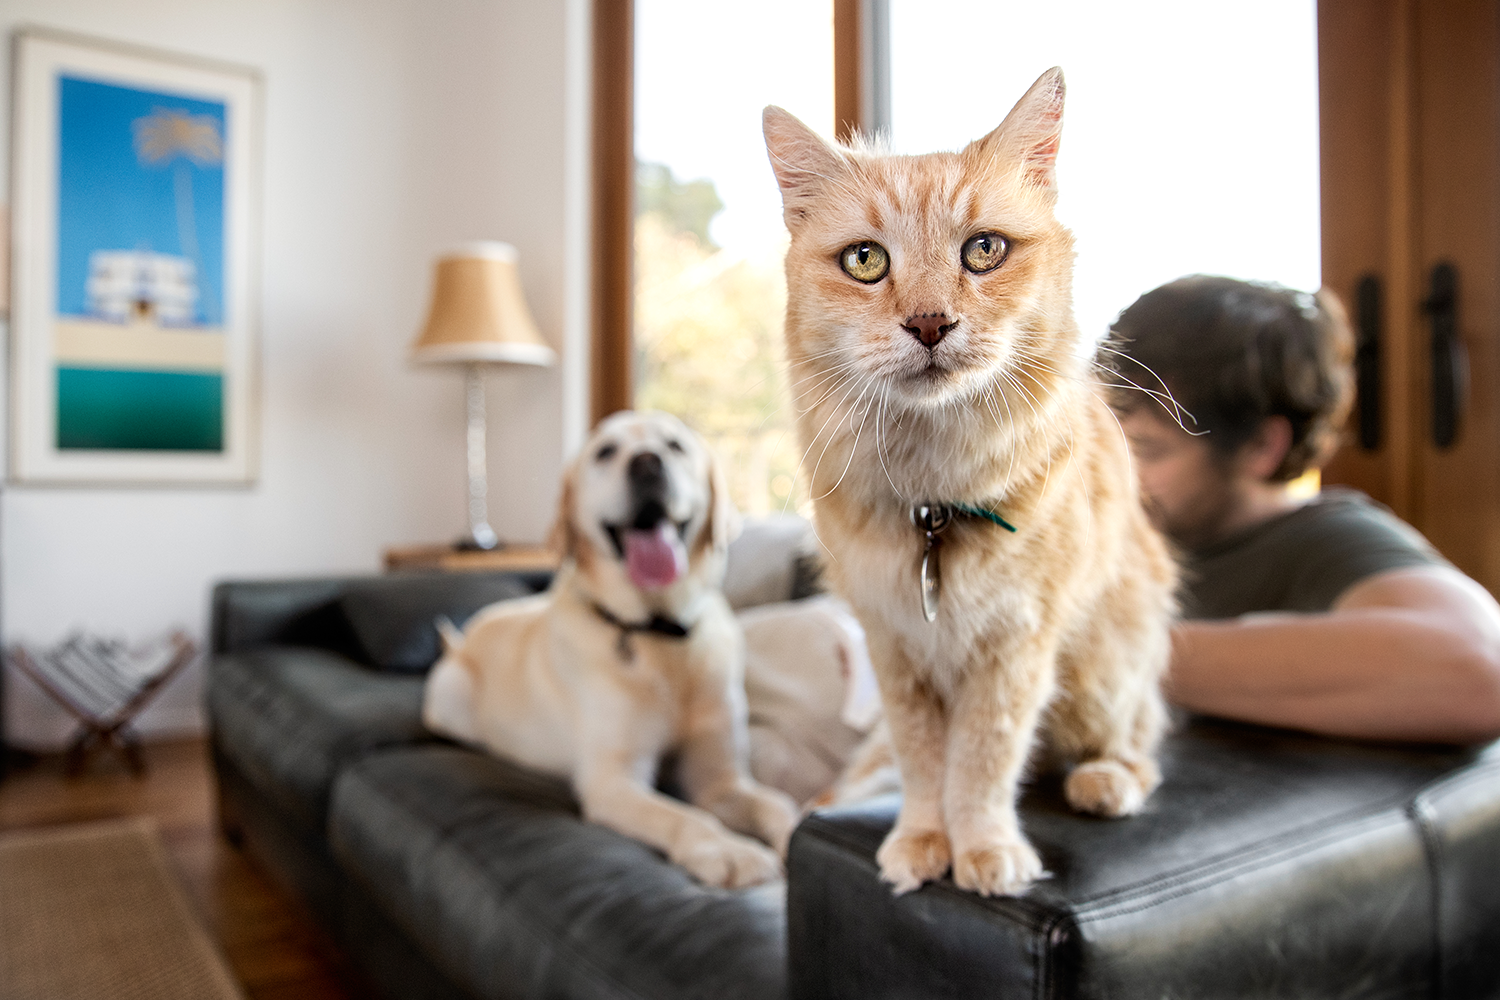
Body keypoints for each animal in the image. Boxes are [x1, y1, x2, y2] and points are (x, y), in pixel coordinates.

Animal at [423, 410, 798, 887]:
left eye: (675, 446)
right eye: (605, 452)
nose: (647, 464)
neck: (658, 634)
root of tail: (466, 635)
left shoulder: (723, 780)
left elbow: (779, 804)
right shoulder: (615, 781)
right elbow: (685, 816)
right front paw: (729, 851)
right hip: (452, 695)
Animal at [768, 70, 1176, 899]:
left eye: (984, 250)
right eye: (865, 261)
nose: (929, 323)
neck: (932, 500)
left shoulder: (1015, 648)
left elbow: (984, 763)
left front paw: (985, 852)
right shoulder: (895, 650)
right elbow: (927, 767)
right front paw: (924, 843)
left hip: (1108, 673)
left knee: (1142, 744)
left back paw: (1105, 781)